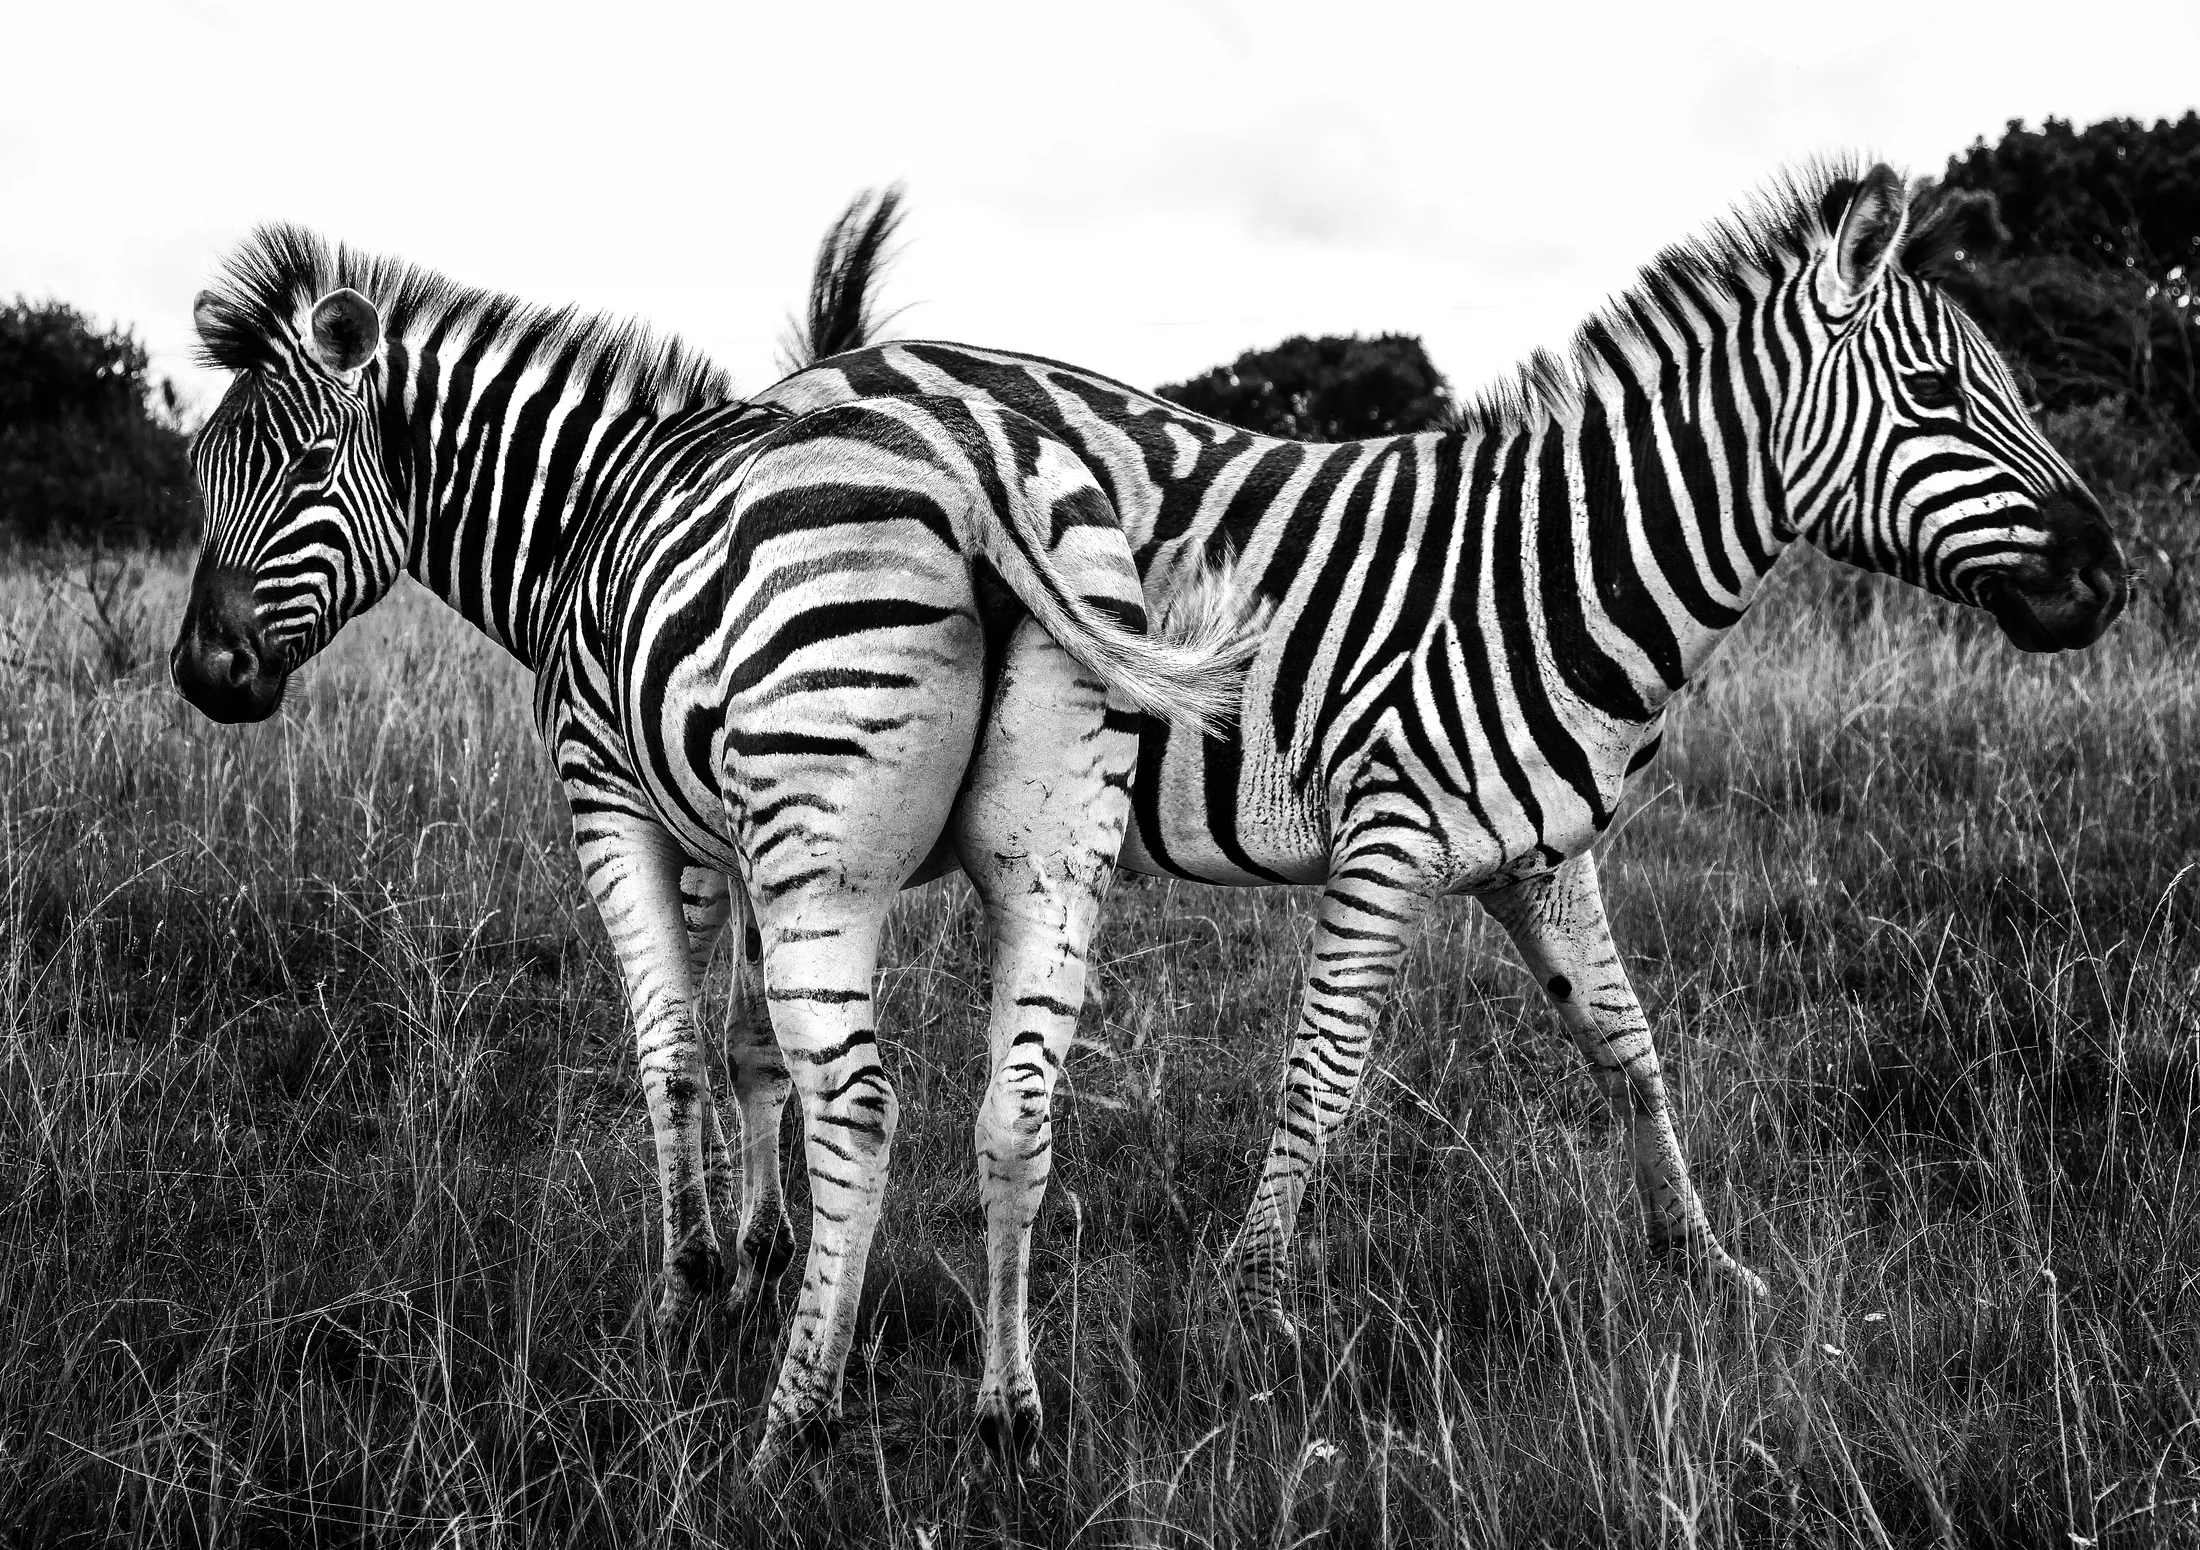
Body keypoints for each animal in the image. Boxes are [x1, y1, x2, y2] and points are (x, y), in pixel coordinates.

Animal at [168, 221, 1251, 1471]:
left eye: (306, 465)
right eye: (200, 471)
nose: (204, 676)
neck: (580, 514)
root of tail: (977, 452)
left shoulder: (619, 804)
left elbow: (673, 1047)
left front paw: (687, 1286)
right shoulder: (732, 840)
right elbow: (749, 1051)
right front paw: (758, 1255)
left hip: (824, 858)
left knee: (861, 1106)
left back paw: (795, 1419)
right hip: (1050, 850)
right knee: (1017, 1105)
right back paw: (1005, 1413)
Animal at [754, 161, 2129, 1345]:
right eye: (1939, 396)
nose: (2109, 580)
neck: (1559, 575)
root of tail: (835, 362)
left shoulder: (1543, 859)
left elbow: (1631, 1051)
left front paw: (1705, 1263)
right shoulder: (1385, 838)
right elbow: (1321, 1074)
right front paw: (1253, 1300)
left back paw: (762, 1250)